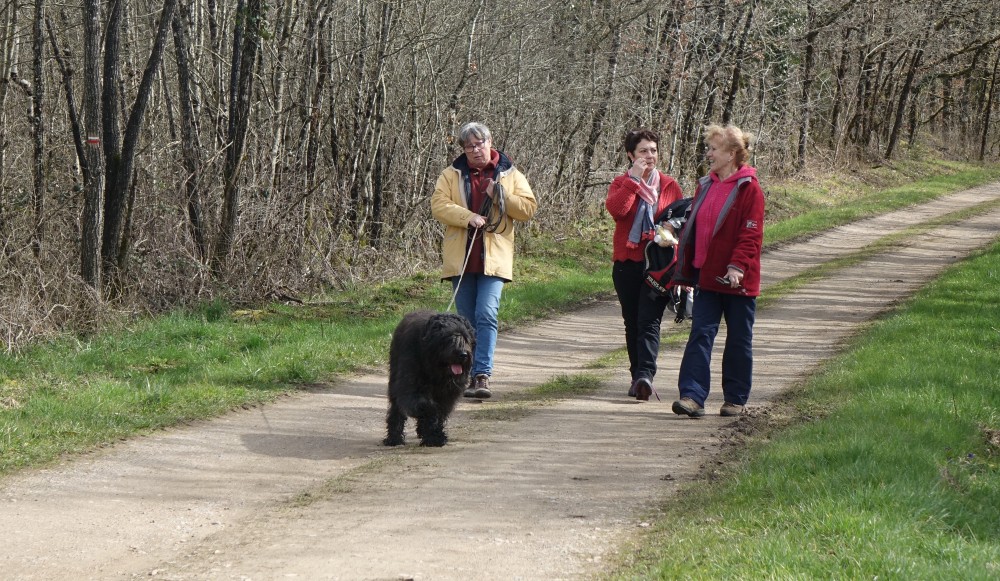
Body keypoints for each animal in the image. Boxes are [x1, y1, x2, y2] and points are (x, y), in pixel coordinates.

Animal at [383, 310, 475, 447]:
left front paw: (435, 436)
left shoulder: (447, 395)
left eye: (465, 337)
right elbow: (429, 407)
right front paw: (432, 434)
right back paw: (394, 438)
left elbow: (439, 412)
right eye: (448, 337)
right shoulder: (411, 388)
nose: (463, 354)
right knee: (396, 409)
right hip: (395, 381)